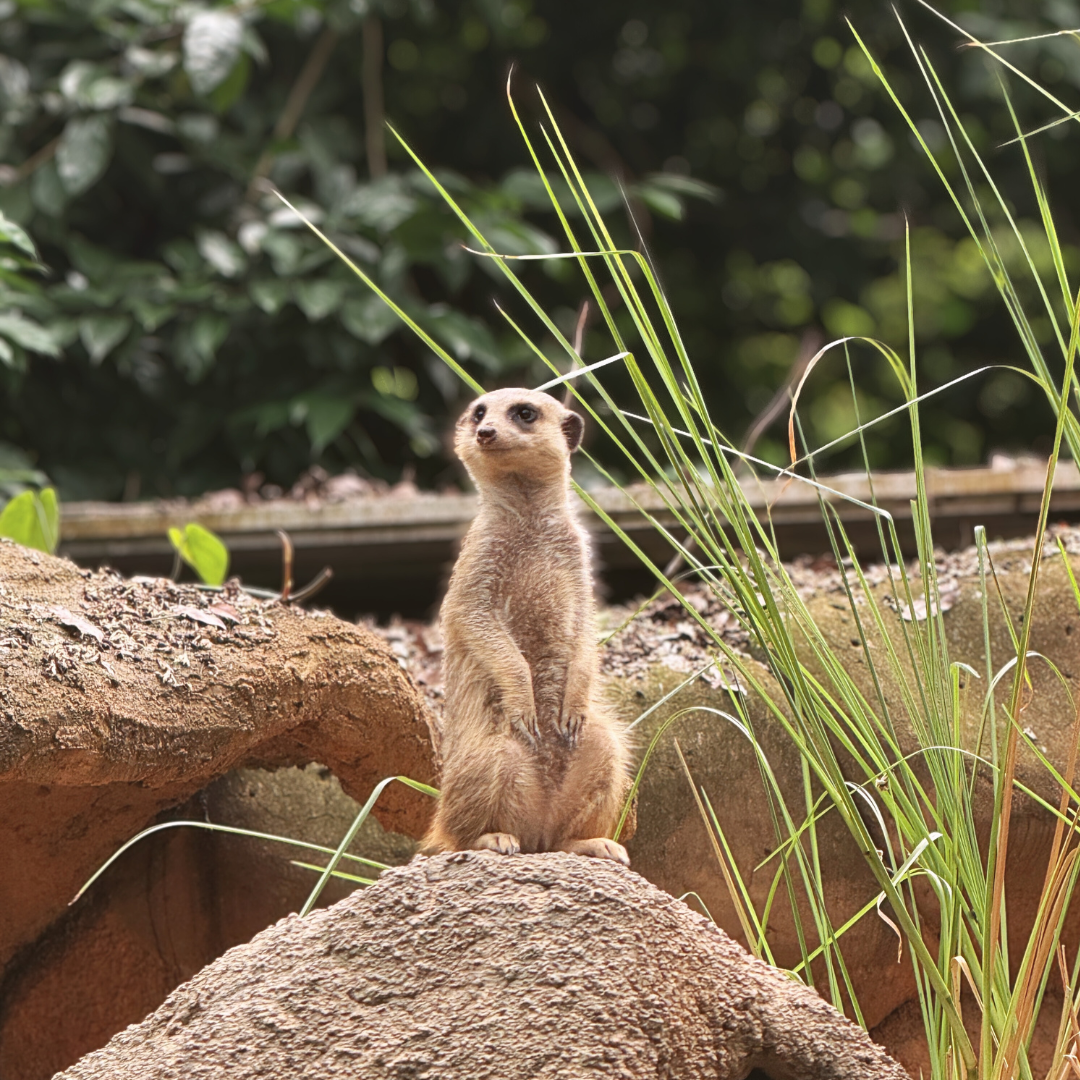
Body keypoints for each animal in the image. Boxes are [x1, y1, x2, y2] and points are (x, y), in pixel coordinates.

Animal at [423, 387, 633, 863]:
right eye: (478, 412)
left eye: (524, 413)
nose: (485, 431)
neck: (530, 518)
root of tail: (536, 831)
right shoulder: (477, 562)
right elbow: (470, 613)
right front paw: (523, 692)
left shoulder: (577, 557)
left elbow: (586, 623)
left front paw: (574, 698)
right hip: (489, 753)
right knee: (457, 831)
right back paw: (490, 837)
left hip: (596, 753)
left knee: (605, 750)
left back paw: (589, 842)